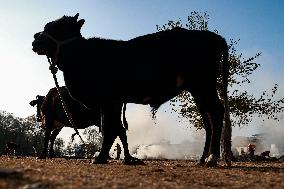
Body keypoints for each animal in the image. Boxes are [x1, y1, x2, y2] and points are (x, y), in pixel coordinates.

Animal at [32, 14, 230, 166]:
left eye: (59, 27)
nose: (35, 39)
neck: (84, 56)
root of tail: (211, 36)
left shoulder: (109, 101)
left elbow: (110, 128)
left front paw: (101, 157)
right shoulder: (112, 103)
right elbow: (114, 128)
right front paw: (110, 156)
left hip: (204, 85)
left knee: (217, 112)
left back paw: (212, 158)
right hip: (197, 90)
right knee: (208, 120)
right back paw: (202, 159)